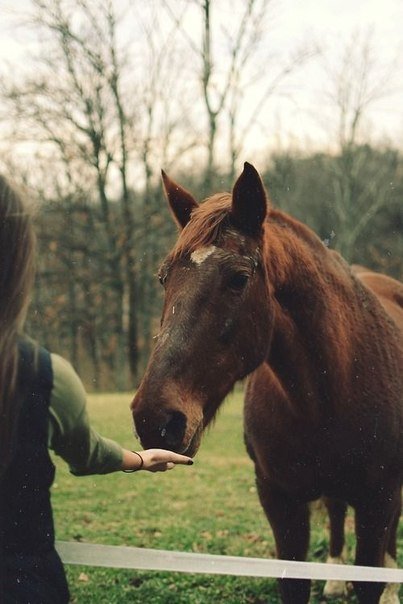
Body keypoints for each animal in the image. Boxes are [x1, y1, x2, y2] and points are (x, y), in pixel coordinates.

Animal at [133, 162, 403, 604]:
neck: (327, 395)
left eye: (239, 279)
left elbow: (370, 576)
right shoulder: (279, 500)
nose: (154, 417)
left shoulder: (377, 499)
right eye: (163, 278)